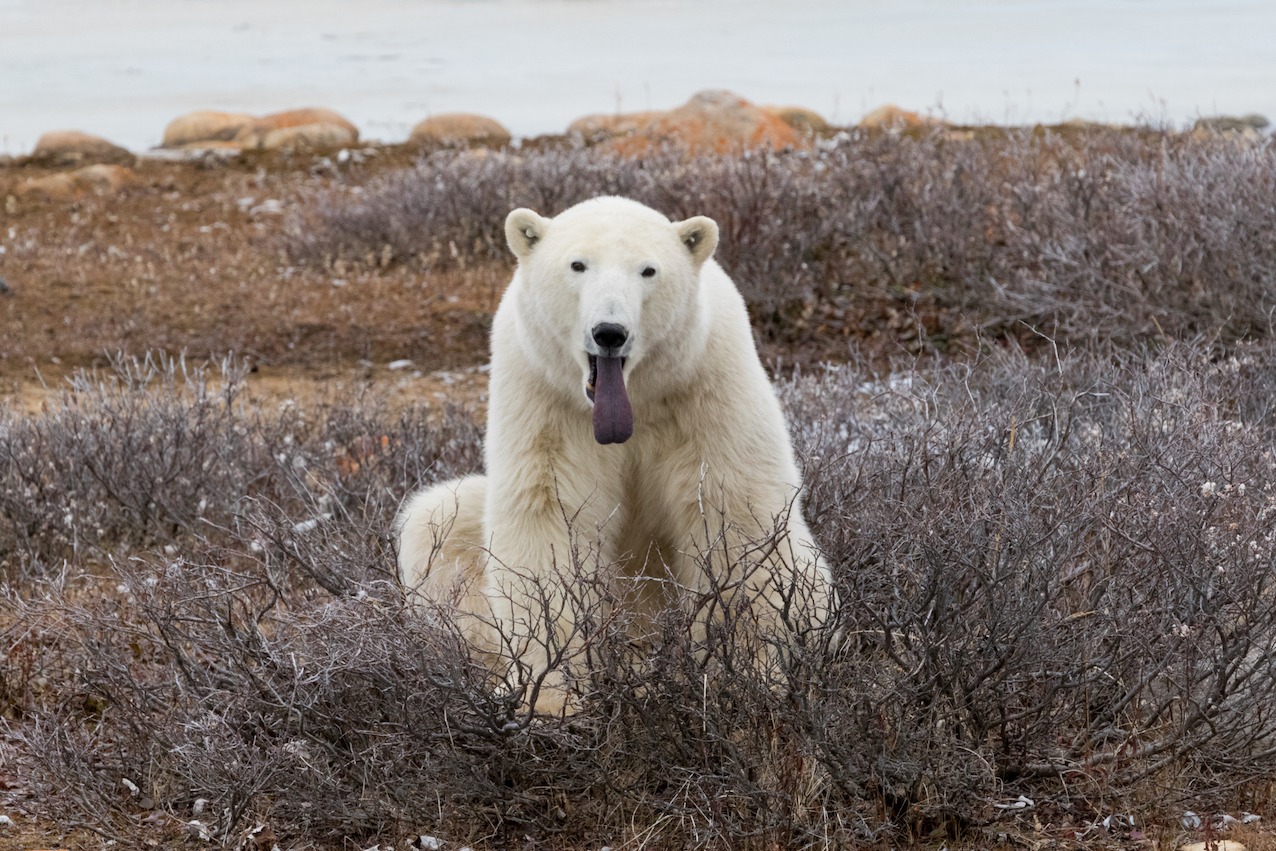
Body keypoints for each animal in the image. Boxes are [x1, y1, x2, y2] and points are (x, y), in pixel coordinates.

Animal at [398, 196, 837, 709]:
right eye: (578, 265)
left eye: (648, 270)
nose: (610, 332)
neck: (632, 402)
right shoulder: (545, 400)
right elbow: (547, 517)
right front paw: (550, 696)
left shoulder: (707, 389)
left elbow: (732, 515)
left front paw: (745, 676)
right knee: (435, 521)